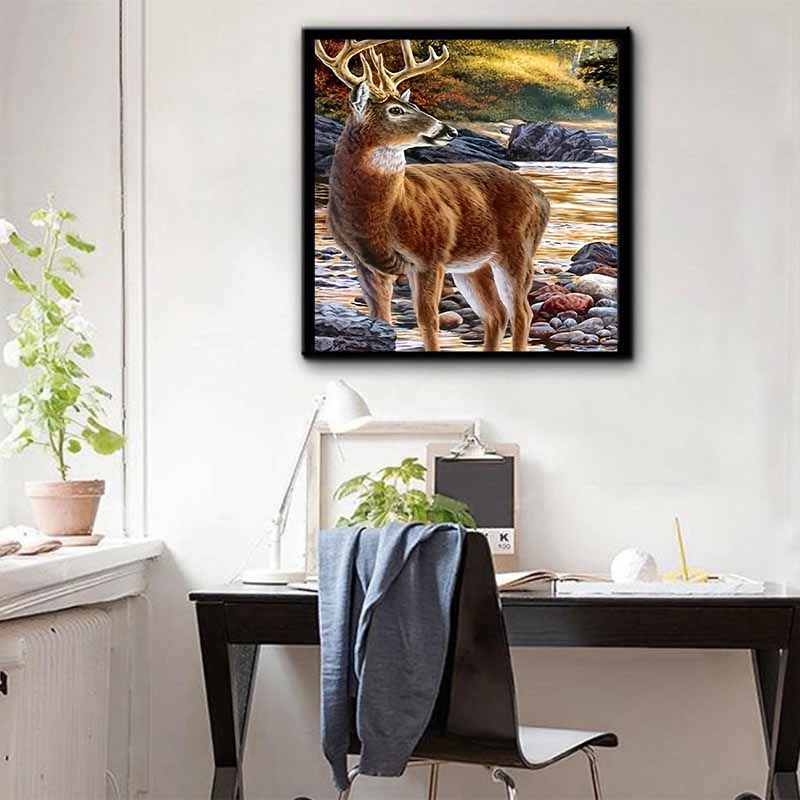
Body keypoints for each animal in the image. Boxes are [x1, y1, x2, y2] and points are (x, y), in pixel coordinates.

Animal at [315, 39, 550, 352]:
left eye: (412, 104)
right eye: (395, 110)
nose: (448, 130)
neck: (383, 215)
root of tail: (541, 197)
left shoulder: (430, 257)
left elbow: (428, 322)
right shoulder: (364, 264)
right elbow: (381, 318)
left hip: (518, 250)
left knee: (522, 312)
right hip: (472, 266)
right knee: (496, 314)